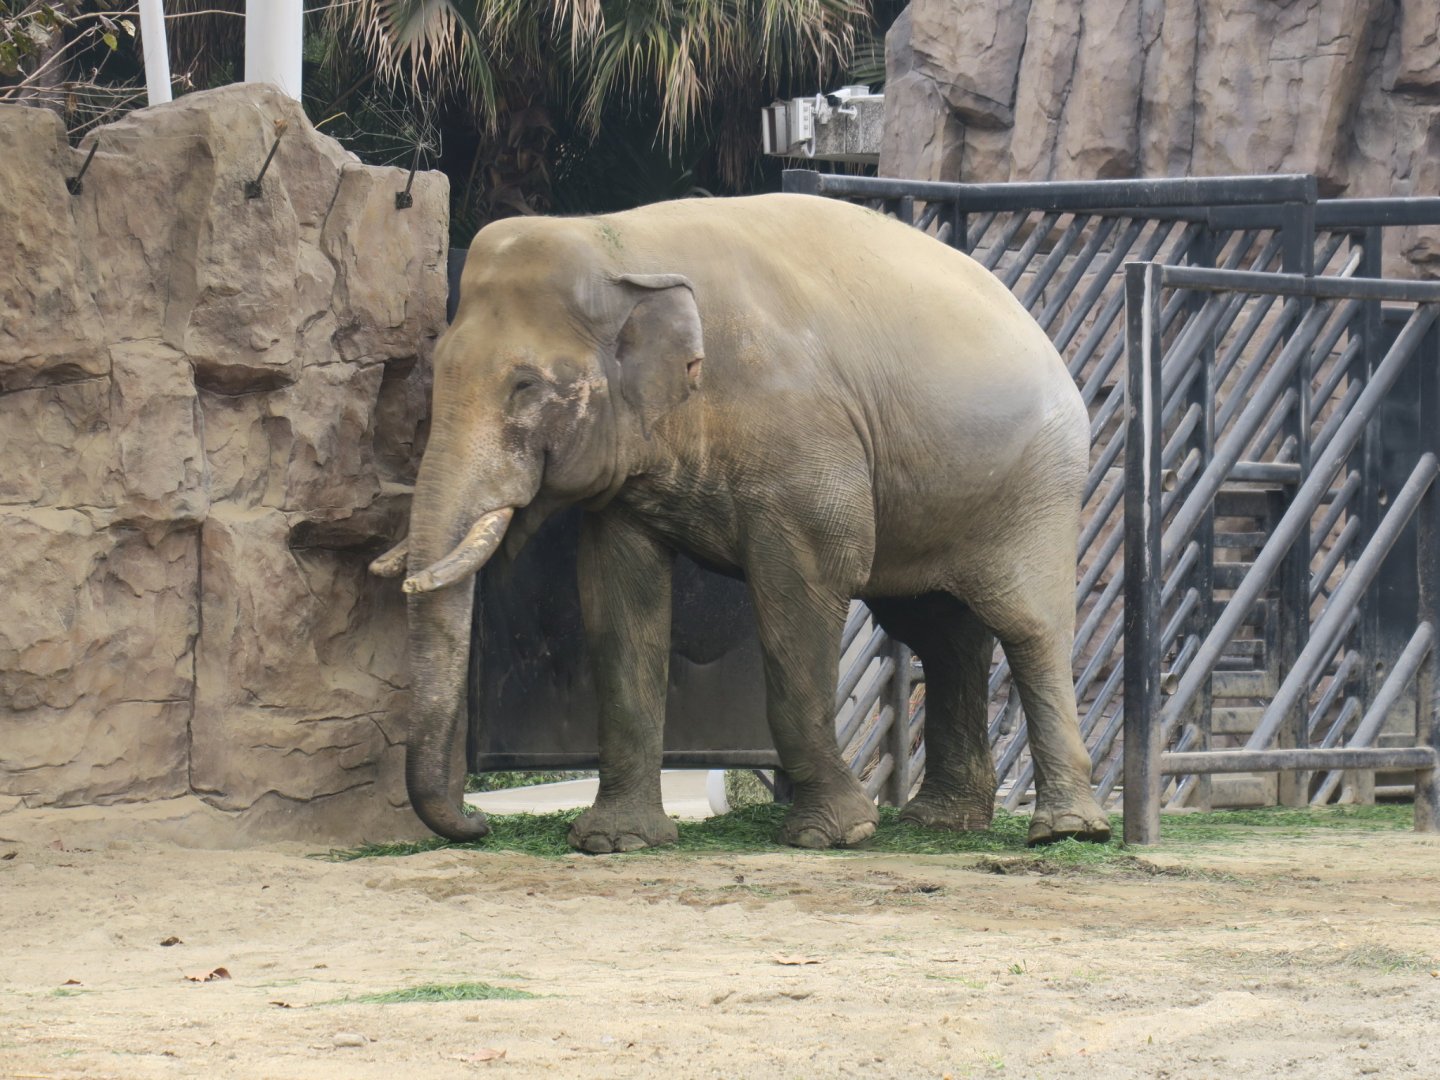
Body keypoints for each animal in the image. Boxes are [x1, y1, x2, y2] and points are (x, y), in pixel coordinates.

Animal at [372, 192, 1112, 852]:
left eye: (525, 388)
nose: (477, 824)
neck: (621, 244)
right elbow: (617, 595)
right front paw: (616, 842)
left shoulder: (806, 445)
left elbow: (803, 589)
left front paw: (832, 835)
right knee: (938, 630)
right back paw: (941, 823)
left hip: (1037, 483)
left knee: (1029, 626)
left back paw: (1065, 832)